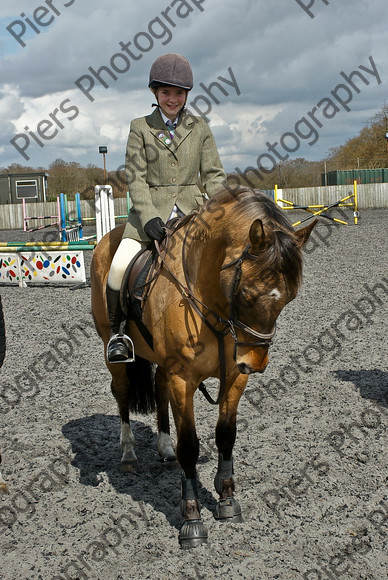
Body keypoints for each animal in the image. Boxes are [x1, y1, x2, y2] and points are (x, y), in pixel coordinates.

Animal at [91, 187, 316, 548]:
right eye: (247, 294)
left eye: (289, 298)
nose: (256, 364)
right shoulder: (183, 377)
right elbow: (190, 446)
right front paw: (192, 519)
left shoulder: (234, 376)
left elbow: (226, 435)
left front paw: (227, 501)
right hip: (112, 351)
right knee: (122, 393)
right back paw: (128, 455)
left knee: (159, 389)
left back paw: (164, 448)